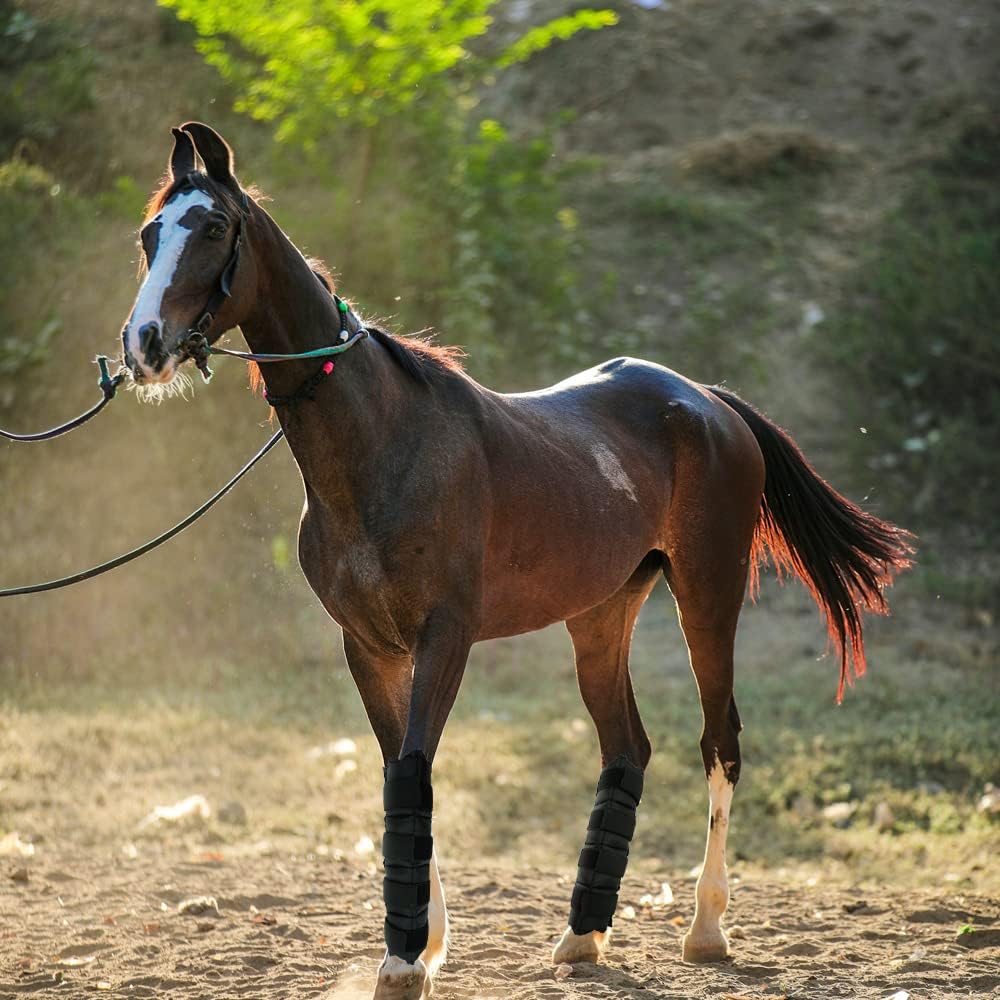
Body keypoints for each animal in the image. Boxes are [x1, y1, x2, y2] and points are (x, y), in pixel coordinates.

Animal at [120, 122, 913, 999]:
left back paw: (706, 928)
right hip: (600, 619)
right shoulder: (368, 647)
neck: (383, 446)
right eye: (150, 235)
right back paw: (584, 934)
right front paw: (422, 946)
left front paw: (407, 956)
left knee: (721, 744)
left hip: (709, 596)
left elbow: (415, 768)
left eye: (212, 228)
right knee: (626, 749)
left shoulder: (446, 638)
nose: (143, 346)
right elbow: (397, 771)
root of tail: (708, 400)